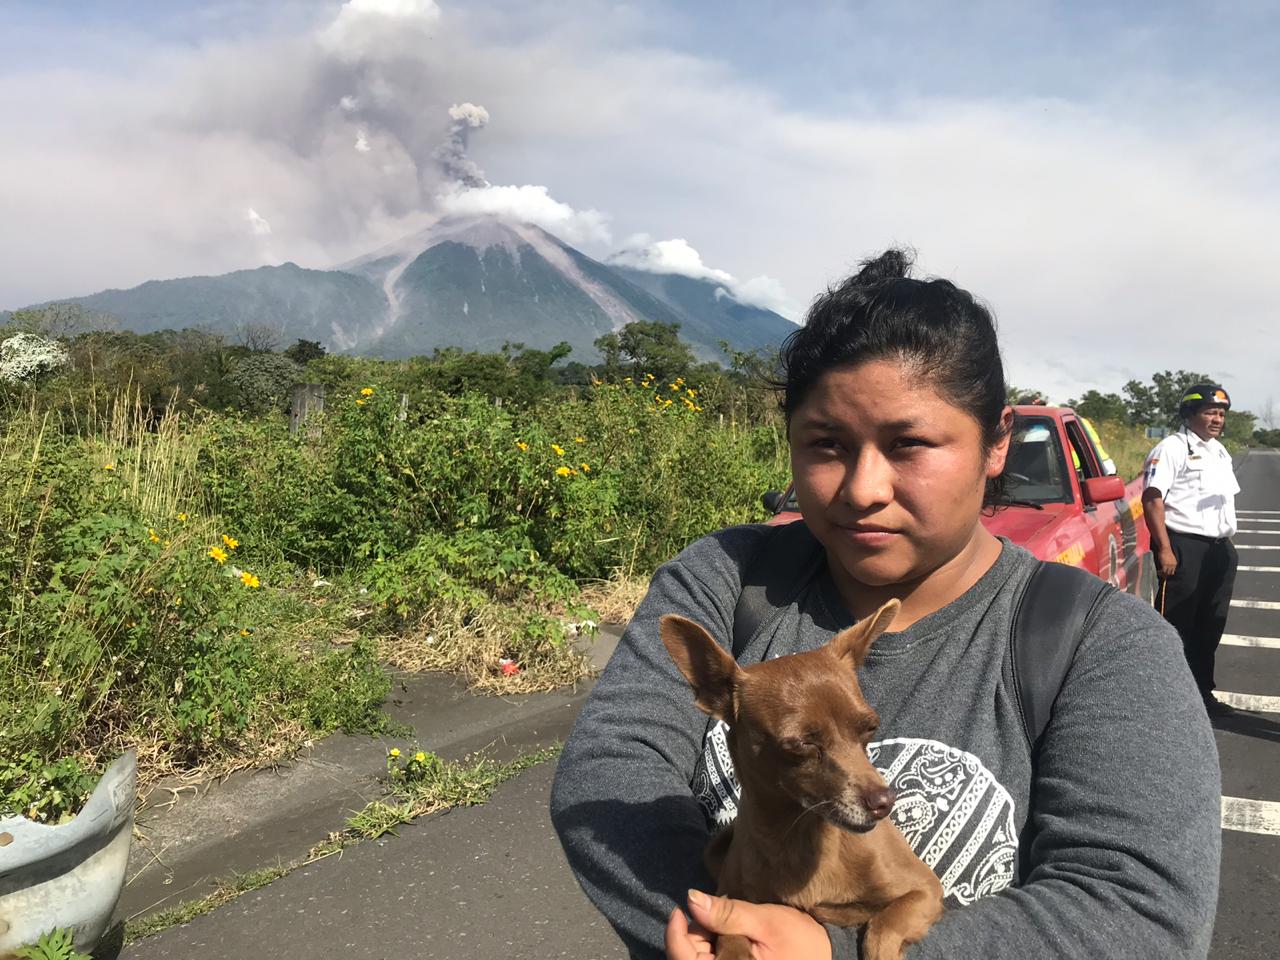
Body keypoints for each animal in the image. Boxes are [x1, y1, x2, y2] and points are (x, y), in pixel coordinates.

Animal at [665, 601, 947, 960]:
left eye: (870, 727)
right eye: (801, 744)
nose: (884, 801)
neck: (799, 836)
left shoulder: (925, 890)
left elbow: (882, 928)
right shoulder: (733, 898)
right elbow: (730, 940)